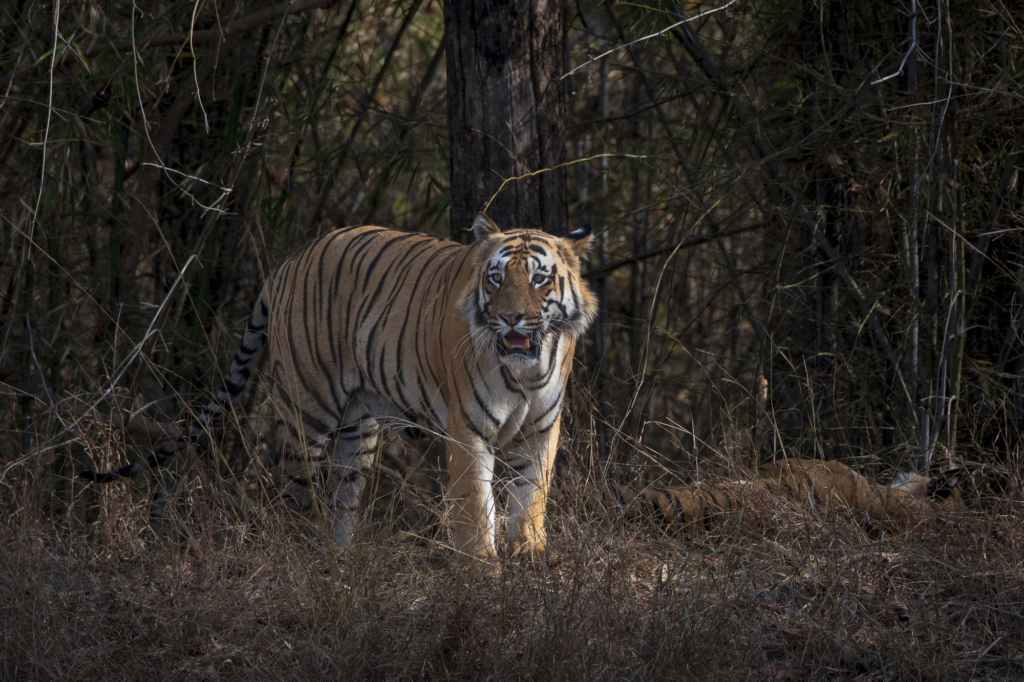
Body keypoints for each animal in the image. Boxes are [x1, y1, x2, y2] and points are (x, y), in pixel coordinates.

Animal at [81, 215, 598, 561]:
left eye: (539, 278)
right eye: (495, 278)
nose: (510, 317)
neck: (526, 370)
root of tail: (291, 259)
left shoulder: (540, 429)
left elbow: (530, 504)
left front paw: (529, 564)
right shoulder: (467, 429)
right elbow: (475, 509)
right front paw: (483, 576)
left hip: (359, 428)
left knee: (341, 501)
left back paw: (344, 567)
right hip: (308, 412)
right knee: (292, 494)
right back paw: (302, 566)